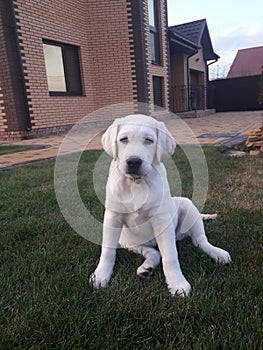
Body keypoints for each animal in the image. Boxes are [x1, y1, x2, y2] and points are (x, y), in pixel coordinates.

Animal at [89, 115, 232, 296]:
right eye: (123, 139)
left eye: (149, 140)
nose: (133, 161)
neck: (137, 182)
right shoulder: (112, 216)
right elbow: (107, 250)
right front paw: (101, 275)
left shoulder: (162, 219)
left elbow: (170, 256)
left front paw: (177, 283)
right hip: (129, 241)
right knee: (154, 252)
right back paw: (147, 268)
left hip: (187, 206)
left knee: (199, 241)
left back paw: (217, 253)